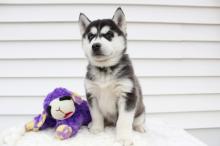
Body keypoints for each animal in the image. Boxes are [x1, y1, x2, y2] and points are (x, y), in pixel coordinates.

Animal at [78, 8, 145, 146]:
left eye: (109, 35)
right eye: (91, 36)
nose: (95, 45)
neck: (105, 69)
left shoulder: (127, 94)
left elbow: (124, 120)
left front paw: (123, 138)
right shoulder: (92, 94)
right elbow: (96, 114)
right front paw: (97, 129)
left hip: (141, 111)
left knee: (137, 121)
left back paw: (140, 128)